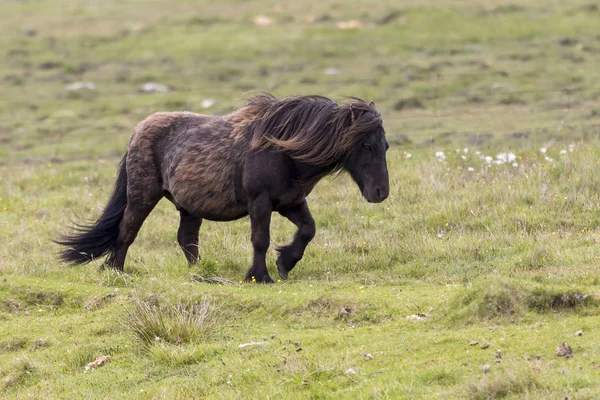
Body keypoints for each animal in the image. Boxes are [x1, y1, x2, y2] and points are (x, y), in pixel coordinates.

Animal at [56, 94, 390, 282]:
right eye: (366, 145)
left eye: (385, 145)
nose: (380, 192)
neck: (284, 151)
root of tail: (139, 130)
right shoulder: (260, 203)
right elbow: (260, 240)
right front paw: (260, 276)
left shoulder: (291, 203)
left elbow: (308, 230)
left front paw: (285, 263)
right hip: (142, 196)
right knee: (127, 230)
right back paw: (115, 271)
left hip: (188, 208)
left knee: (187, 240)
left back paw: (200, 273)